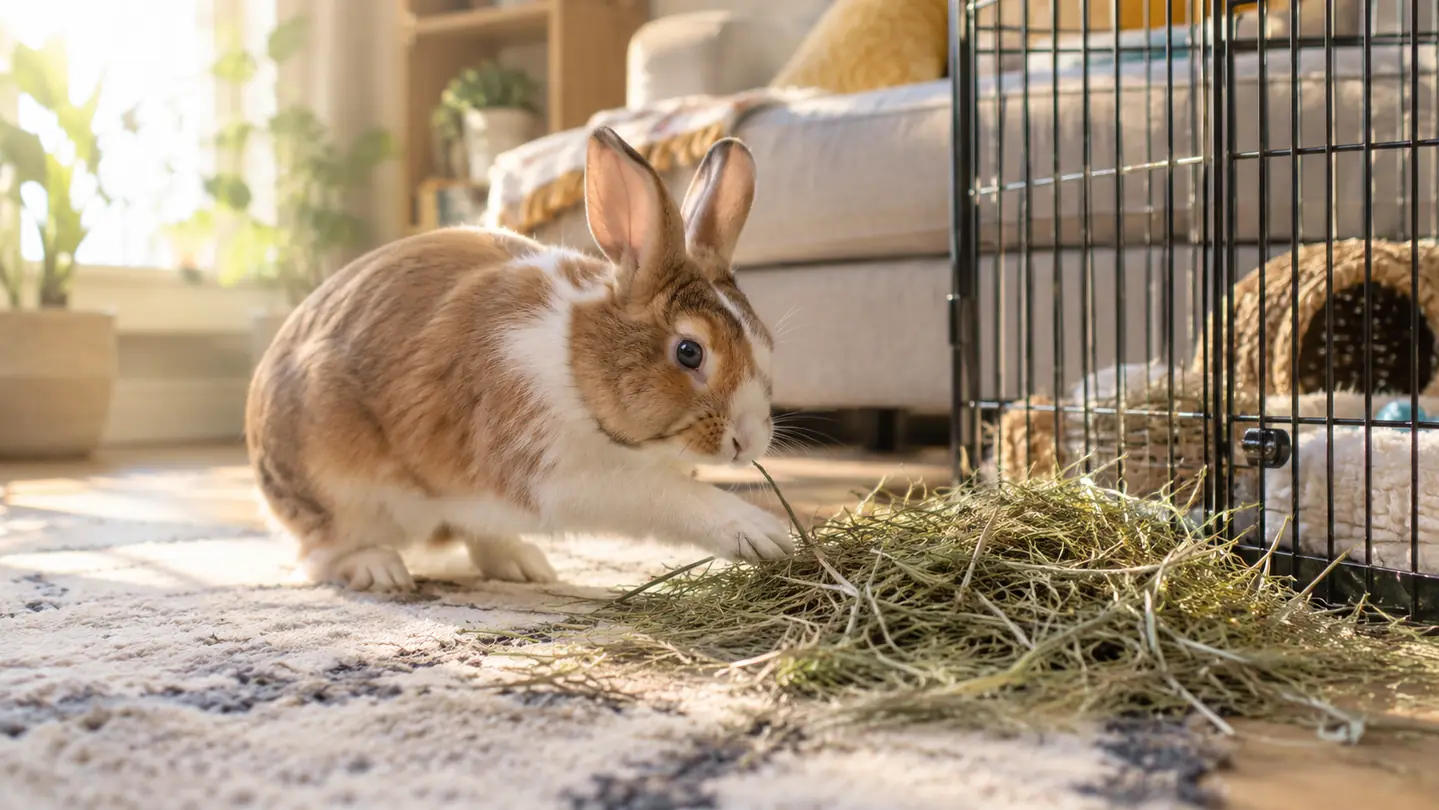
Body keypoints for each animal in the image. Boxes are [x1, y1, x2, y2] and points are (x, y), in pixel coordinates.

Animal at [245, 126, 794, 592]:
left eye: (766, 341)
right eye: (689, 352)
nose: (749, 441)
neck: (574, 362)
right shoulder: (555, 475)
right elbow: (660, 494)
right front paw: (763, 533)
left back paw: (523, 564)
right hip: (336, 490)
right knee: (319, 555)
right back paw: (379, 569)